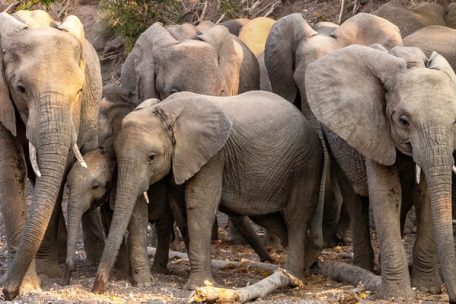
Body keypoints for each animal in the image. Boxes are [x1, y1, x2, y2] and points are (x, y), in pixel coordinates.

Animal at [0, 10, 101, 300]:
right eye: (20, 88)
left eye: (79, 91)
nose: (6, 291)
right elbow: (9, 169)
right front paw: (28, 285)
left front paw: (45, 275)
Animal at [89, 90, 324, 292]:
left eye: (151, 157)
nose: (97, 288)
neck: (166, 111)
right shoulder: (182, 159)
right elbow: (177, 209)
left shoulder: (212, 157)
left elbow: (199, 205)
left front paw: (196, 287)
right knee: (268, 217)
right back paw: (309, 262)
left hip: (306, 163)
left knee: (295, 217)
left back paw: (293, 277)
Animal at [304, 43, 456, 302]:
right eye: (403, 121)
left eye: (455, 122)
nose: (451, 296)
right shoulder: (373, 130)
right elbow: (385, 193)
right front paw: (398, 295)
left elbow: (424, 195)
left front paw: (426, 288)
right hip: (337, 142)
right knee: (356, 201)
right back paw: (364, 269)